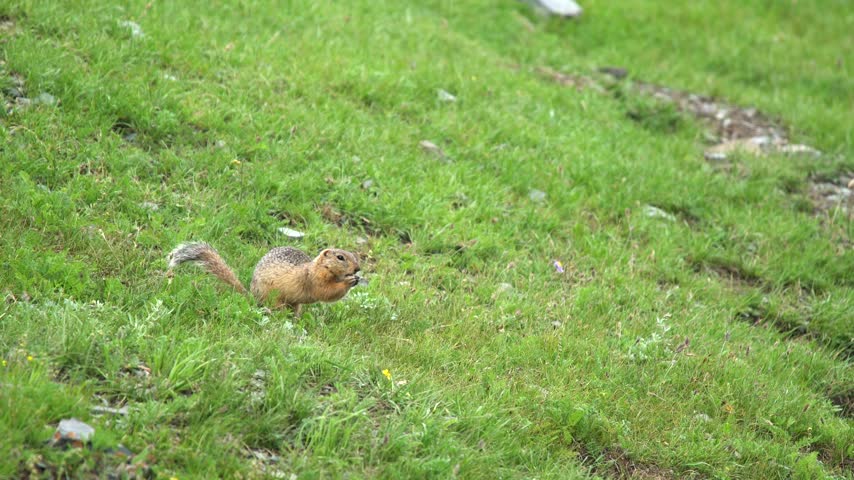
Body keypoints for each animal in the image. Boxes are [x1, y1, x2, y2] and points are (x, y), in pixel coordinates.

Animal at [167, 242, 361, 316]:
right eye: (340, 257)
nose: (358, 268)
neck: (317, 267)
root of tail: (252, 296)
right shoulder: (314, 278)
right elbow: (325, 291)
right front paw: (349, 281)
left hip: (295, 303)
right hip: (273, 297)